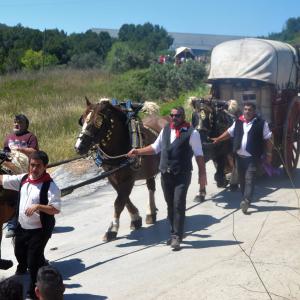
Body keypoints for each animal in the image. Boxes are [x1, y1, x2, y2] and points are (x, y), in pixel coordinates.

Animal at [74, 99, 168, 243]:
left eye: (97, 122)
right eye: (82, 120)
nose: (79, 147)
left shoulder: (128, 178)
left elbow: (119, 202)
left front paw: (112, 229)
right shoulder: (112, 177)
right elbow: (124, 198)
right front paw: (135, 218)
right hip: (149, 169)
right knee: (151, 186)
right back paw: (151, 213)